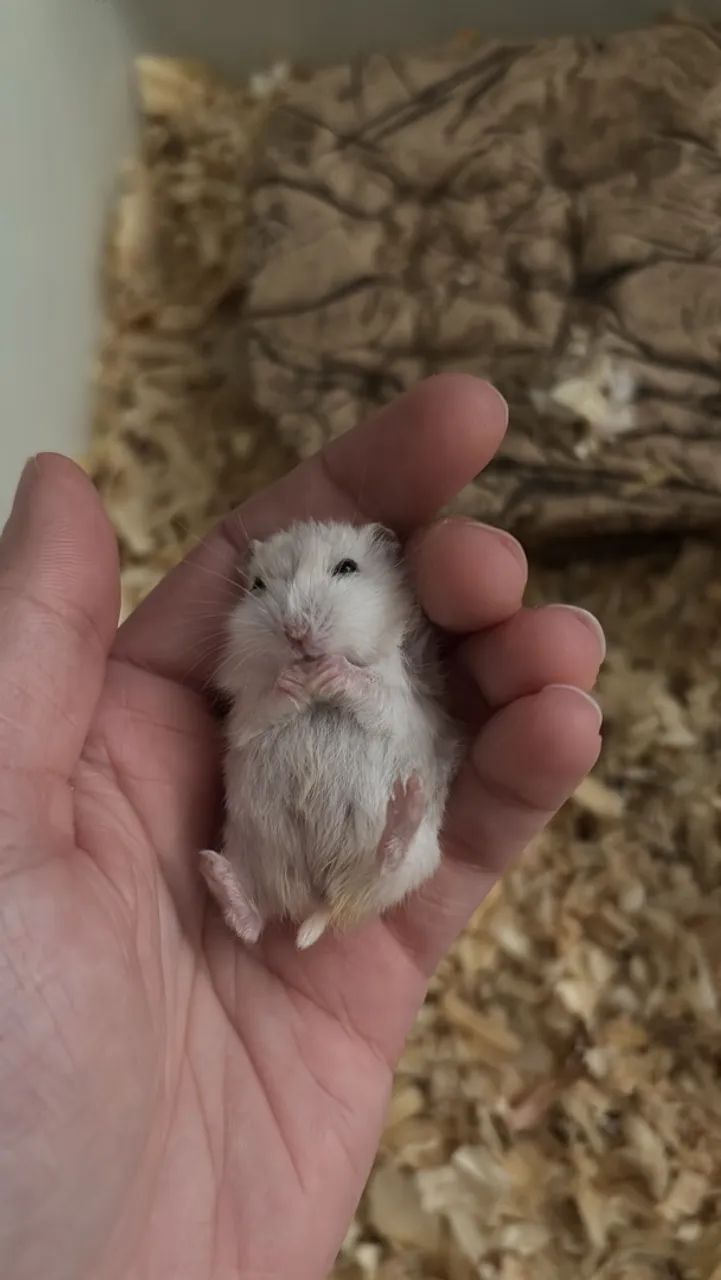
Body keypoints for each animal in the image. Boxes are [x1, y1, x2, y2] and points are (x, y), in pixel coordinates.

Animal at [200, 520, 462, 950]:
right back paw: (213, 870)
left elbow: (370, 687)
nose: (296, 632)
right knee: (253, 922)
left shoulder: (404, 703)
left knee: (387, 864)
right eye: (257, 585)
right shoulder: (246, 712)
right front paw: (295, 680)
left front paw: (328, 672)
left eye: (347, 568)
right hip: (247, 846)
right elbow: (267, 704)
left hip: (419, 857)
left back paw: (406, 804)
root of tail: (319, 898)